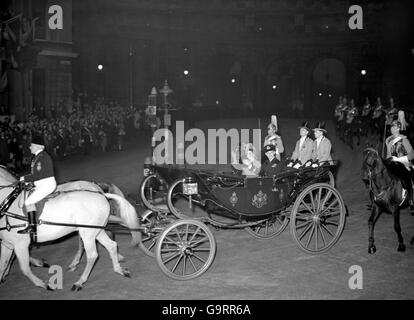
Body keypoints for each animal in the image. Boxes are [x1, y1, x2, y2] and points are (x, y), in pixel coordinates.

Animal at [0, 168, 140, 290]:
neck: (7, 205)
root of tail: (101, 193)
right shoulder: (7, 244)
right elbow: (3, 265)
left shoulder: (20, 244)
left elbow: (24, 268)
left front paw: (43, 284)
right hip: (95, 230)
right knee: (111, 245)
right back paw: (118, 269)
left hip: (87, 233)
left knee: (92, 255)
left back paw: (80, 281)